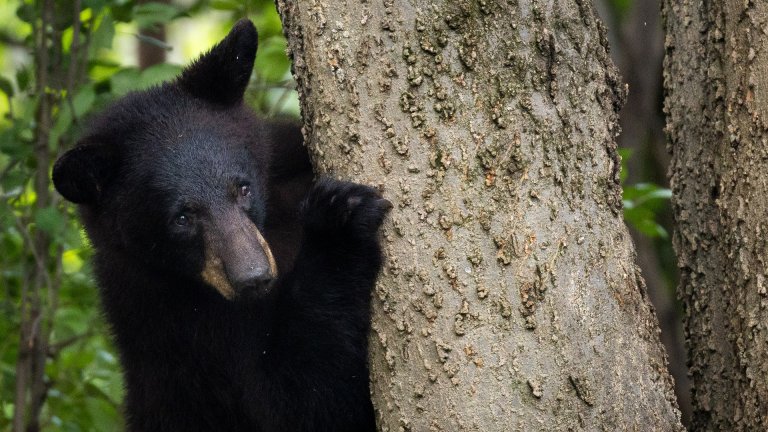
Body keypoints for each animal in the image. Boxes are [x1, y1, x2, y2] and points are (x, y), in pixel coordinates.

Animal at [52, 19, 389, 432]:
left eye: (242, 187)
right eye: (182, 217)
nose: (254, 277)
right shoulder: (183, 327)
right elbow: (303, 400)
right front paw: (338, 221)